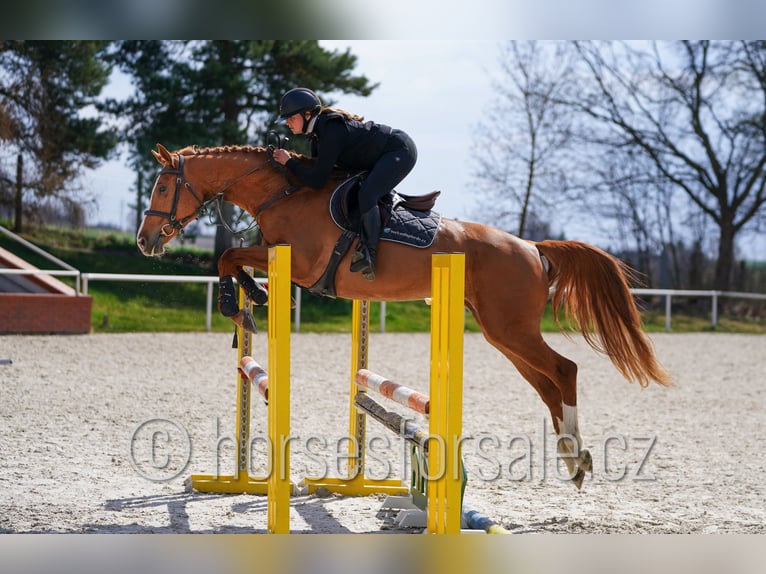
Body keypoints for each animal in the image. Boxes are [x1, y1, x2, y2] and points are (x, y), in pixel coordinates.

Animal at [137, 143, 673, 490]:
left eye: (162, 187)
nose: (145, 241)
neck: (283, 193)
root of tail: (532, 247)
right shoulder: (280, 257)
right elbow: (233, 261)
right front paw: (250, 299)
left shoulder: (300, 264)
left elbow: (229, 257)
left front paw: (238, 304)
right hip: (502, 333)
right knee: (547, 383)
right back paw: (571, 459)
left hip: (510, 327)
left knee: (565, 369)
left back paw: (578, 459)